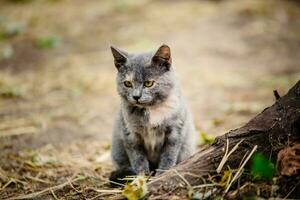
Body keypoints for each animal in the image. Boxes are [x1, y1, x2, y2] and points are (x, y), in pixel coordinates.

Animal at [109, 44, 196, 183]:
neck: (151, 110)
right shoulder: (130, 135)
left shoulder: (175, 132)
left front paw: (162, 174)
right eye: (128, 83)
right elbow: (138, 159)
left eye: (148, 83)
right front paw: (142, 178)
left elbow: (169, 156)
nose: (136, 96)